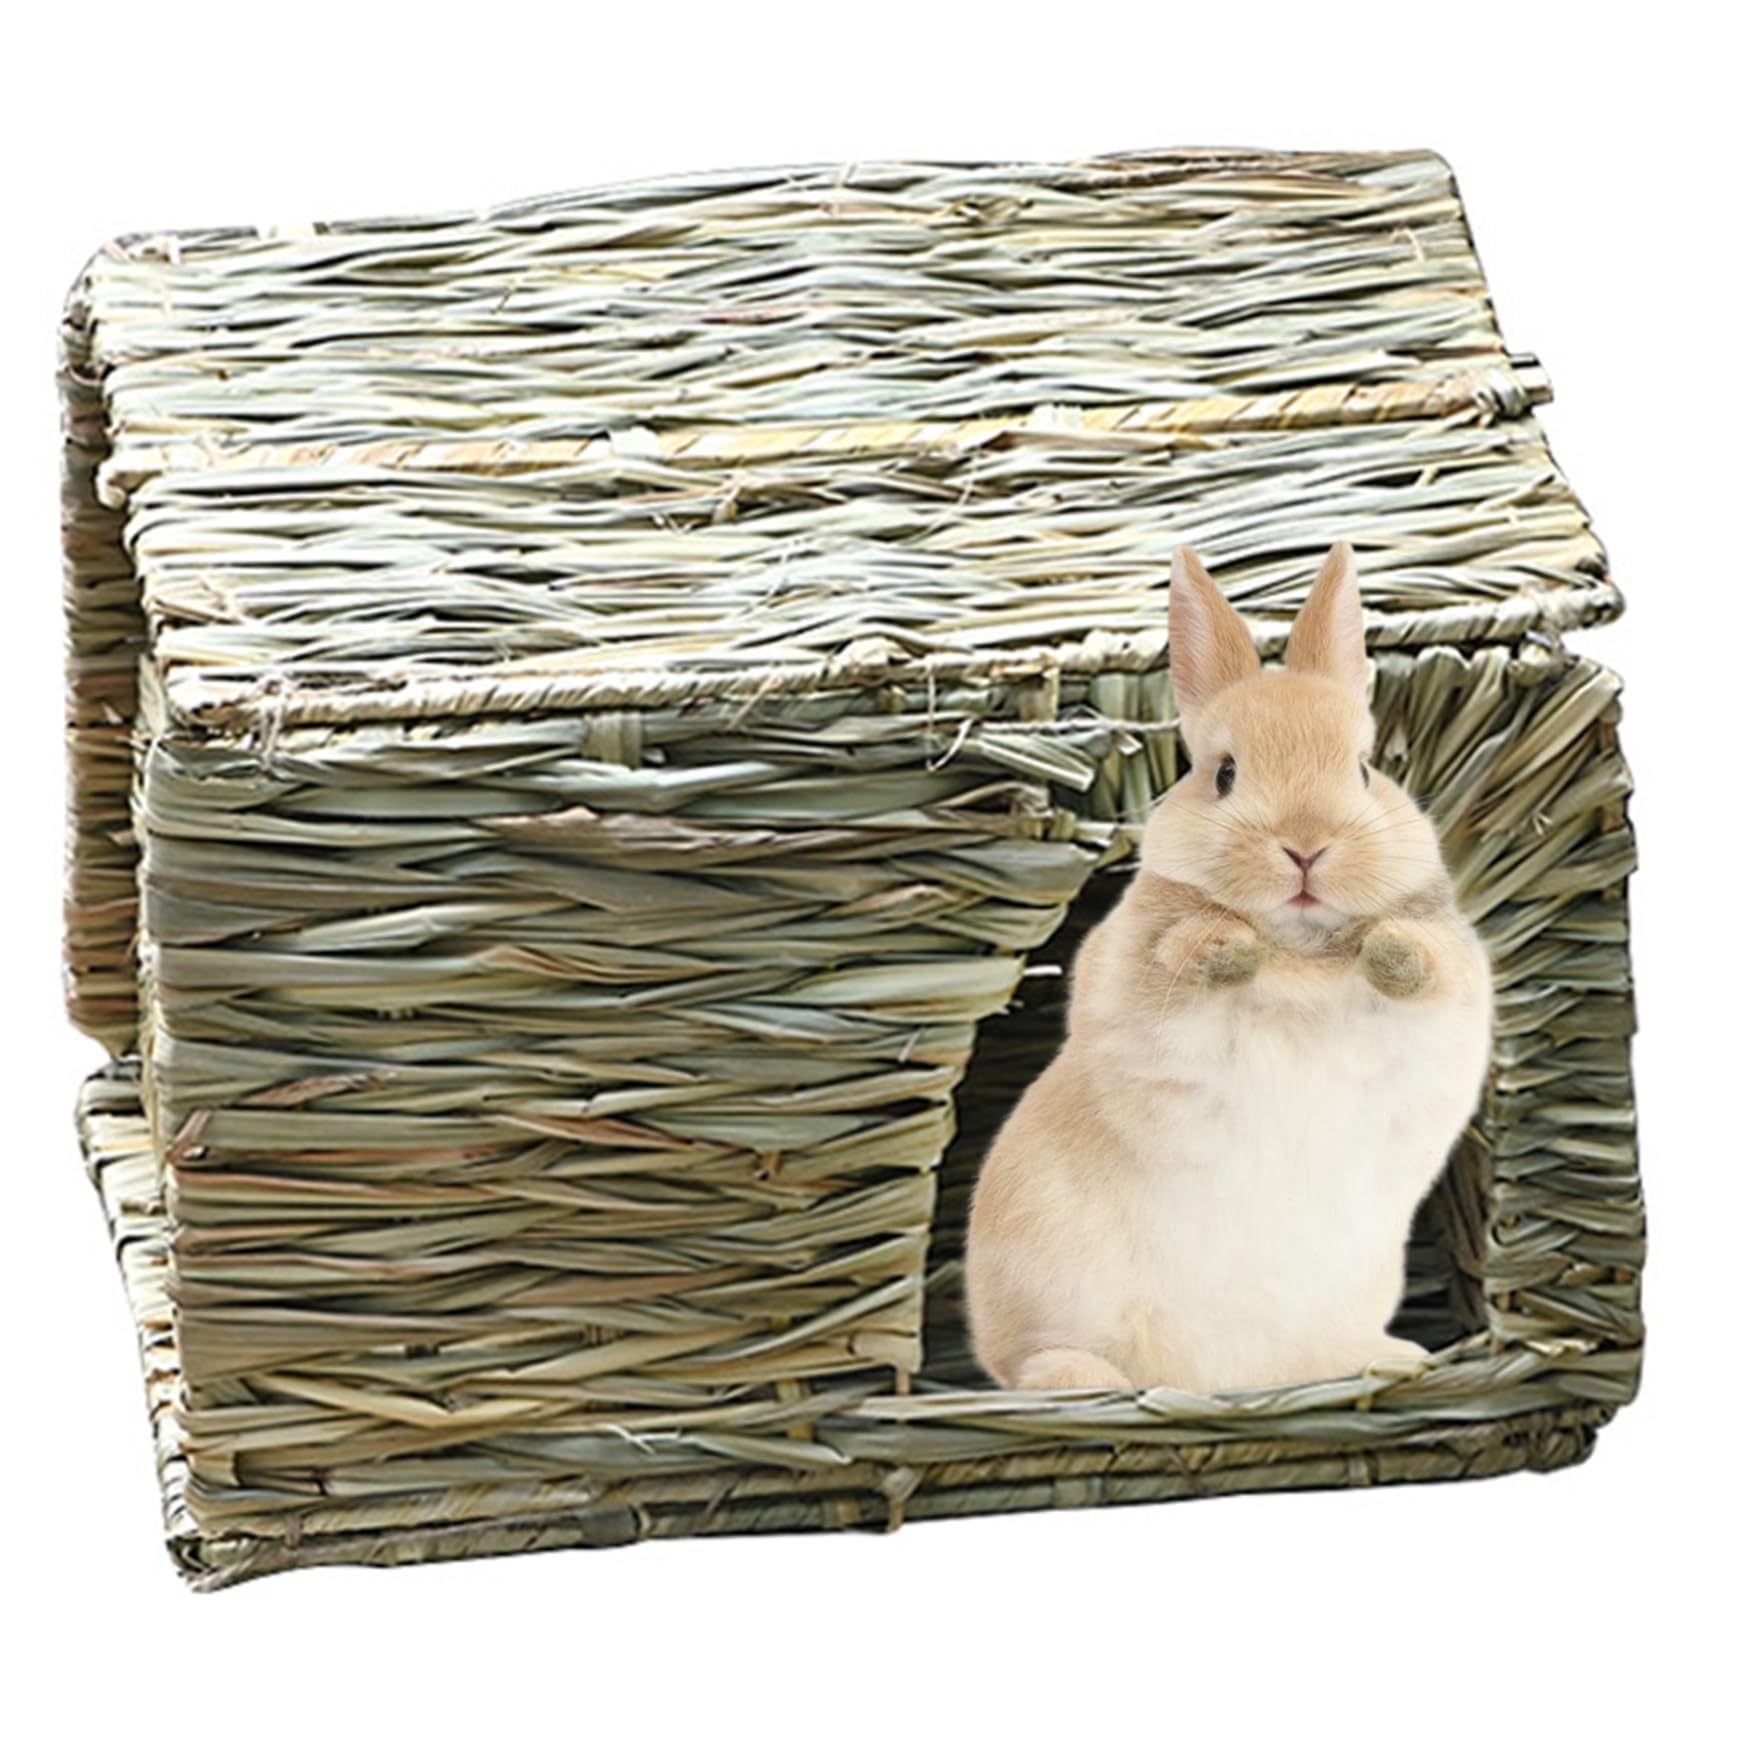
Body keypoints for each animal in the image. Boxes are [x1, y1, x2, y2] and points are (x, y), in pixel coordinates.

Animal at [965, 542, 1493, 1395]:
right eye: (1223, 774)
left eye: (1365, 769)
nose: (1306, 846)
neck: (1300, 949)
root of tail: (1225, 1381)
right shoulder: (1128, 969)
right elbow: (1171, 954)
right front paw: (1229, 952)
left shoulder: (1455, 983)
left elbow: (1429, 961)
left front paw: (1387, 954)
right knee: (1022, 1366)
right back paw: (1084, 1380)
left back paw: (1392, 1360)